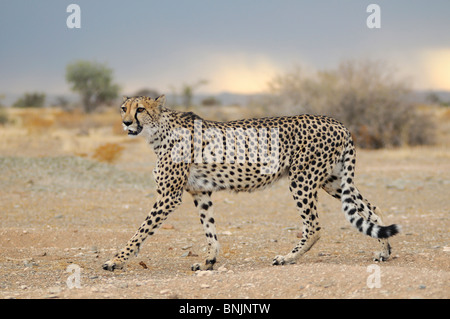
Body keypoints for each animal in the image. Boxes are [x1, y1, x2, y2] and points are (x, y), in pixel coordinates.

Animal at [103, 95, 400, 272]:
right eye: (124, 108)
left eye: (140, 109)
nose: (126, 122)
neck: (158, 131)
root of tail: (337, 122)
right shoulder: (200, 191)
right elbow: (209, 230)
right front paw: (209, 261)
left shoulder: (169, 195)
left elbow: (140, 231)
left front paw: (115, 260)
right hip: (333, 180)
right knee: (371, 209)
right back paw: (384, 251)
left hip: (302, 179)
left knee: (314, 226)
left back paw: (287, 257)